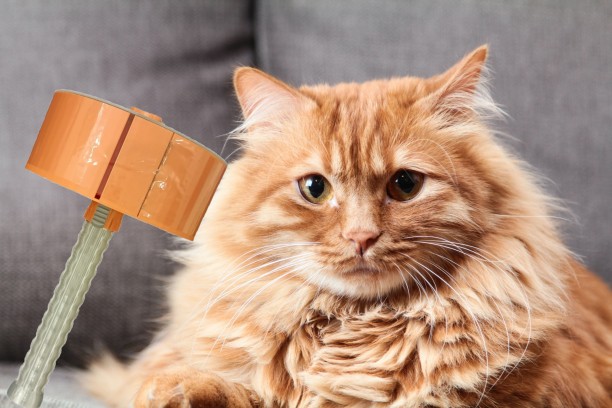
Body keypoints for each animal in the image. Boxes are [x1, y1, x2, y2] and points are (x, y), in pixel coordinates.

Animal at [84, 45, 612, 407]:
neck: (354, 328)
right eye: (315, 188)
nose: (361, 236)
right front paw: (185, 391)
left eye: (405, 184)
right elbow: (185, 380)